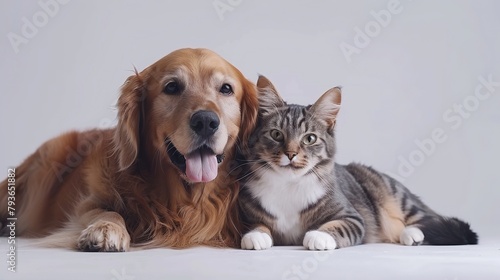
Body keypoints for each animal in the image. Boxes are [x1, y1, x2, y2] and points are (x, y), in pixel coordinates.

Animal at [0, 48, 258, 252]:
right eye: (172, 87)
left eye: (226, 88)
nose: (205, 121)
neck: (184, 201)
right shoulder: (85, 205)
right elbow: (108, 211)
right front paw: (106, 229)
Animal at [236, 75, 478, 250]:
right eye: (276, 134)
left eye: (309, 139)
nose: (291, 154)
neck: (288, 185)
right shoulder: (247, 214)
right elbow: (256, 225)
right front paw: (256, 235)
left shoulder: (351, 216)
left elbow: (336, 226)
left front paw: (319, 236)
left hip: (396, 197)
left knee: (428, 218)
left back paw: (412, 234)